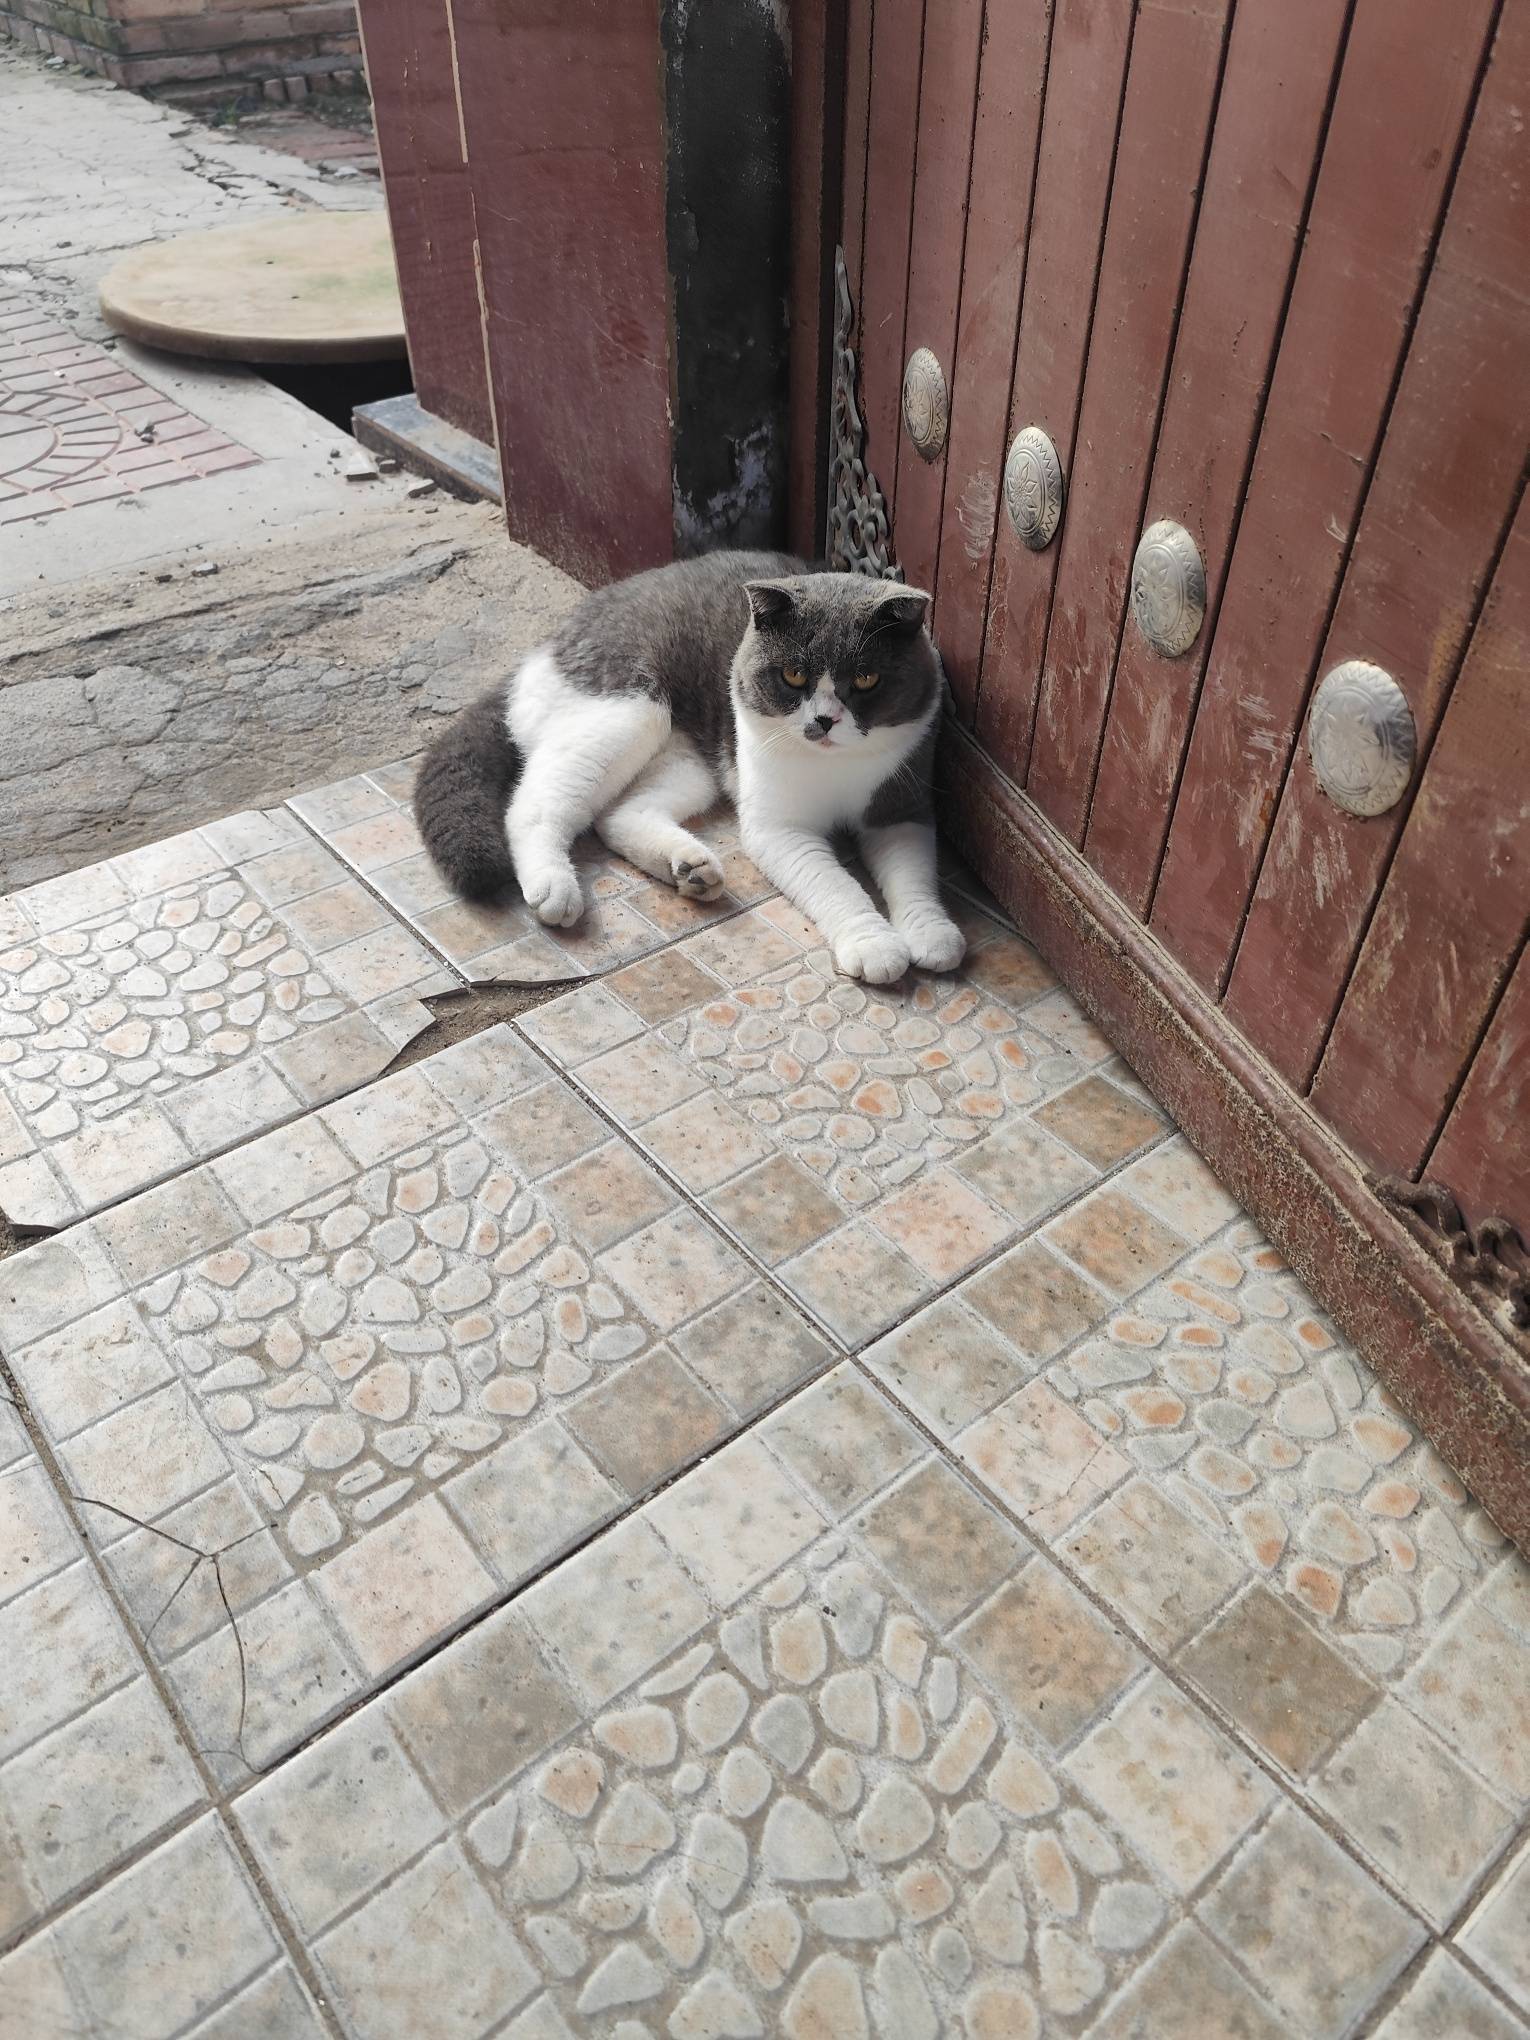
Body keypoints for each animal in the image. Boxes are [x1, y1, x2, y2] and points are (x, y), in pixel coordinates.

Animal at [414, 549, 966, 985]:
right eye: (793, 676)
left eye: (867, 680)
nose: (825, 721)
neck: (837, 768)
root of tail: (546, 644)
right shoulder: (779, 830)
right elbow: (836, 886)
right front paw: (874, 945)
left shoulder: (901, 807)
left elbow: (914, 874)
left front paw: (932, 934)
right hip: (628, 711)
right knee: (533, 806)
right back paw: (555, 888)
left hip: (691, 761)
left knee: (617, 814)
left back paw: (689, 868)